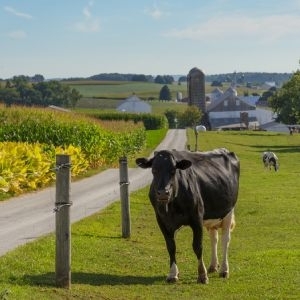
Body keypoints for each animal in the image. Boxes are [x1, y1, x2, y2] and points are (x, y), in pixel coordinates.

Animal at [137, 148, 240, 284]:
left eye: (173, 170)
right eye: (154, 170)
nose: (163, 193)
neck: (171, 206)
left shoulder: (197, 218)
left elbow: (197, 246)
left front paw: (202, 275)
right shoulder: (162, 220)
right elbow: (171, 246)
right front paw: (173, 274)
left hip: (229, 211)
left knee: (225, 240)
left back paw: (224, 270)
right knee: (214, 238)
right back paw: (213, 266)